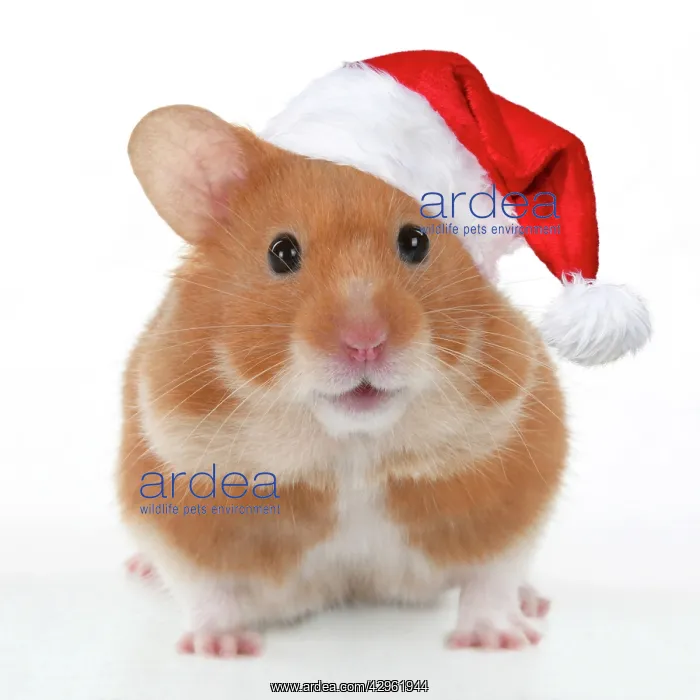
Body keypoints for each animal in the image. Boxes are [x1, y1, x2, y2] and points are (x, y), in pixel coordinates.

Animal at [117, 105, 567, 658]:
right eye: (281, 252)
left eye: (415, 242)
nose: (365, 343)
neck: (351, 449)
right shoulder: (174, 503)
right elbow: (205, 590)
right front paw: (221, 648)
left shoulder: (517, 490)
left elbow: (494, 577)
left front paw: (498, 641)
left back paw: (533, 604)